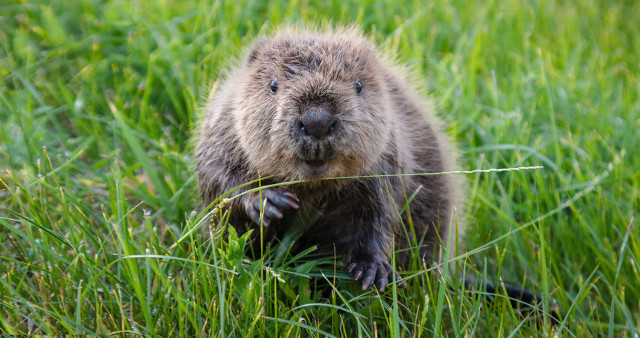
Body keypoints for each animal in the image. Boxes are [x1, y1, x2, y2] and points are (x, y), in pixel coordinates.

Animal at [192, 27, 462, 290]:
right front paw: (268, 200)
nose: (317, 122)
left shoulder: (388, 157)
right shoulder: (224, 129)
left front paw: (373, 270)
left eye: (358, 86)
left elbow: (381, 213)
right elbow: (218, 177)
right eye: (273, 85)